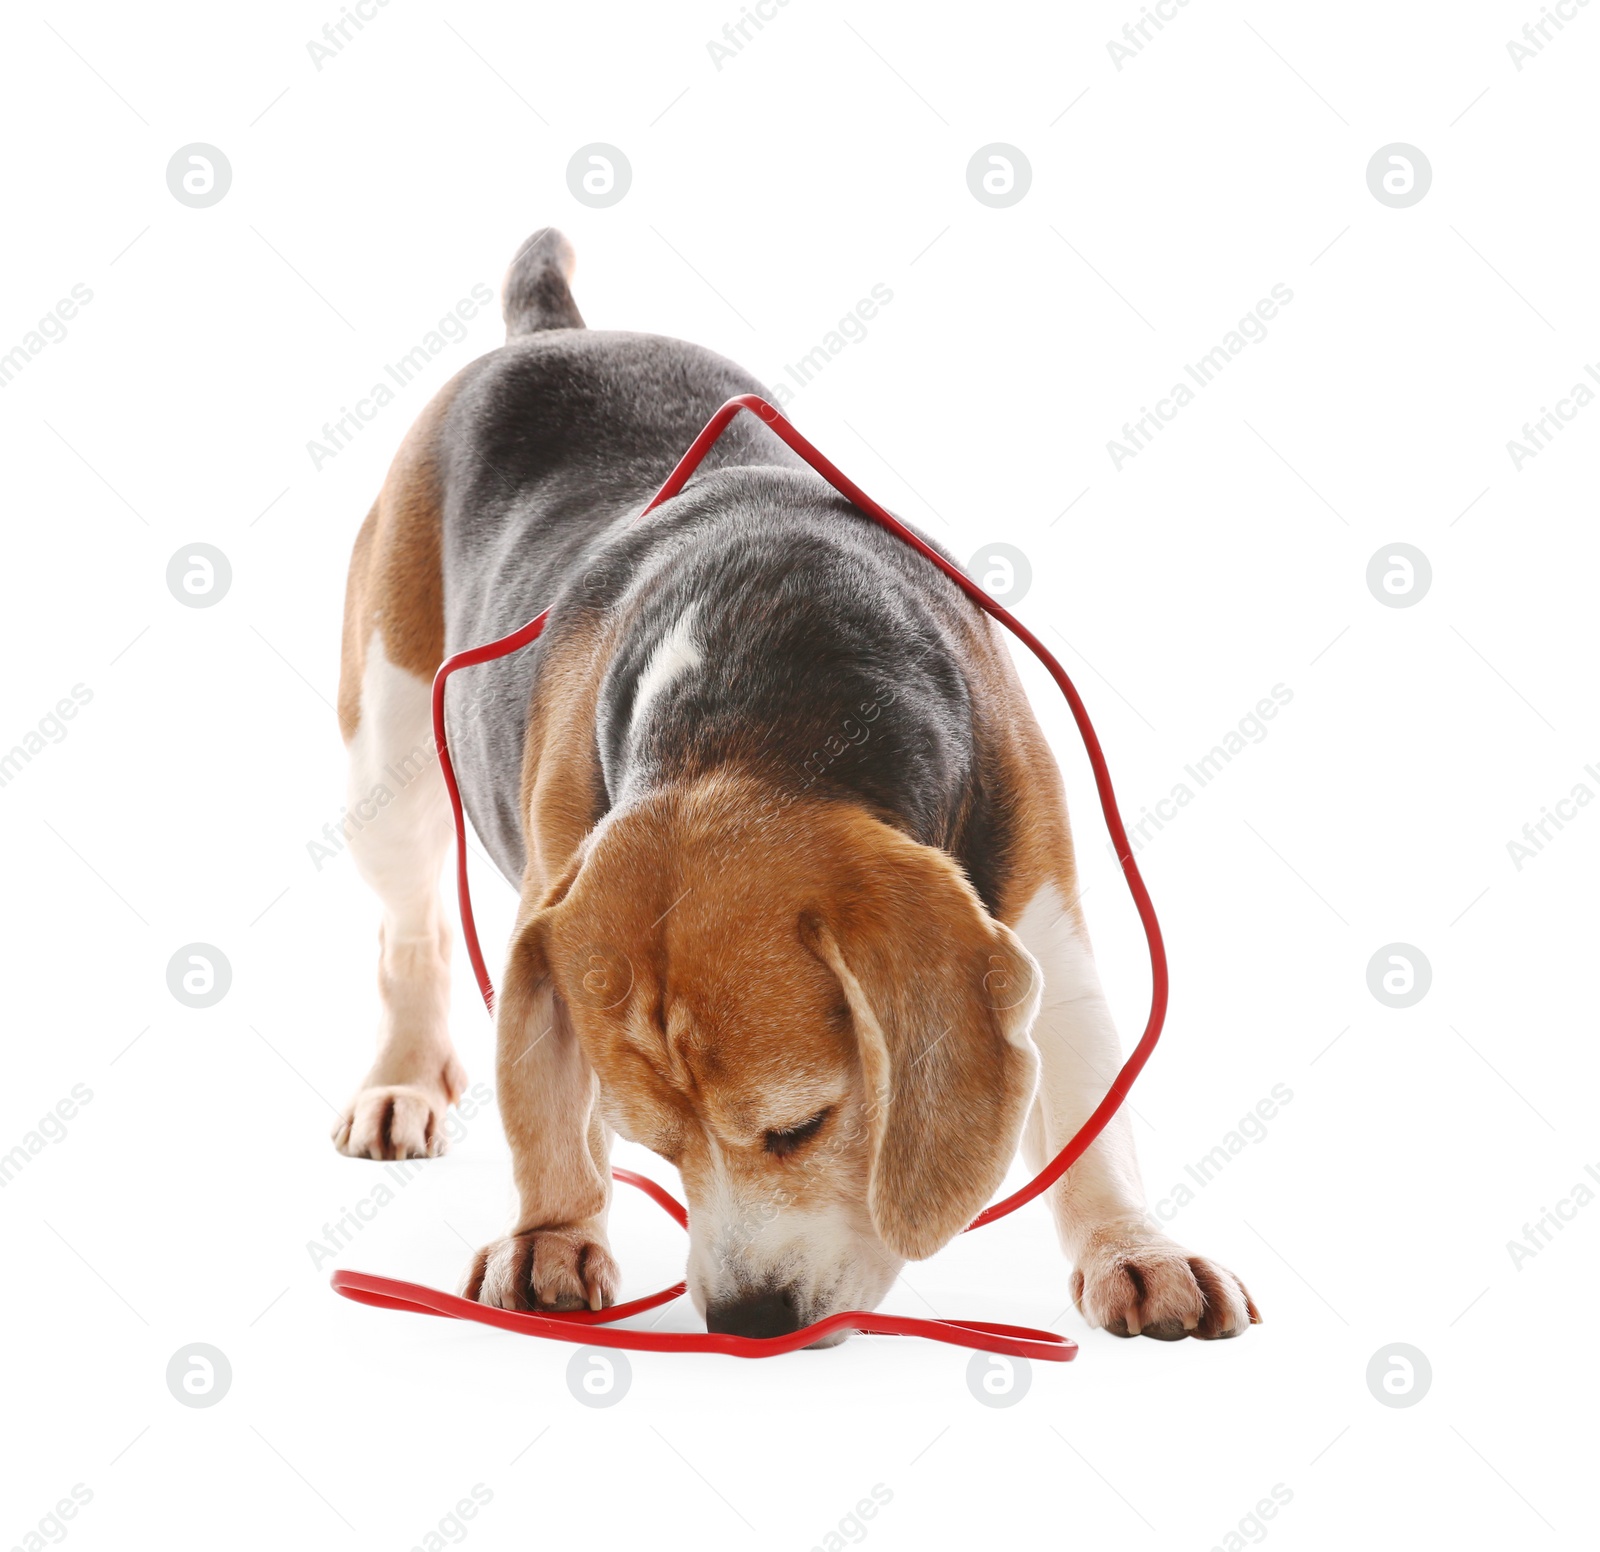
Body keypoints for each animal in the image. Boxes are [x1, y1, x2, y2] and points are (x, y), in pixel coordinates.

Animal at [334, 230, 1260, 1344]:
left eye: (801, 1125)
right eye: (655, 1146)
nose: (748, 1320)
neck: (756, 707)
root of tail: (554, 332)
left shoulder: (1047, 931)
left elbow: (1089, 1108)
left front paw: (1135, 1249)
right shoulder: (553, 903)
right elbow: (554, 1113)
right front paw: (552, 1235)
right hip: (385, 757)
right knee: (407, 933)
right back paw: (401, 1083)